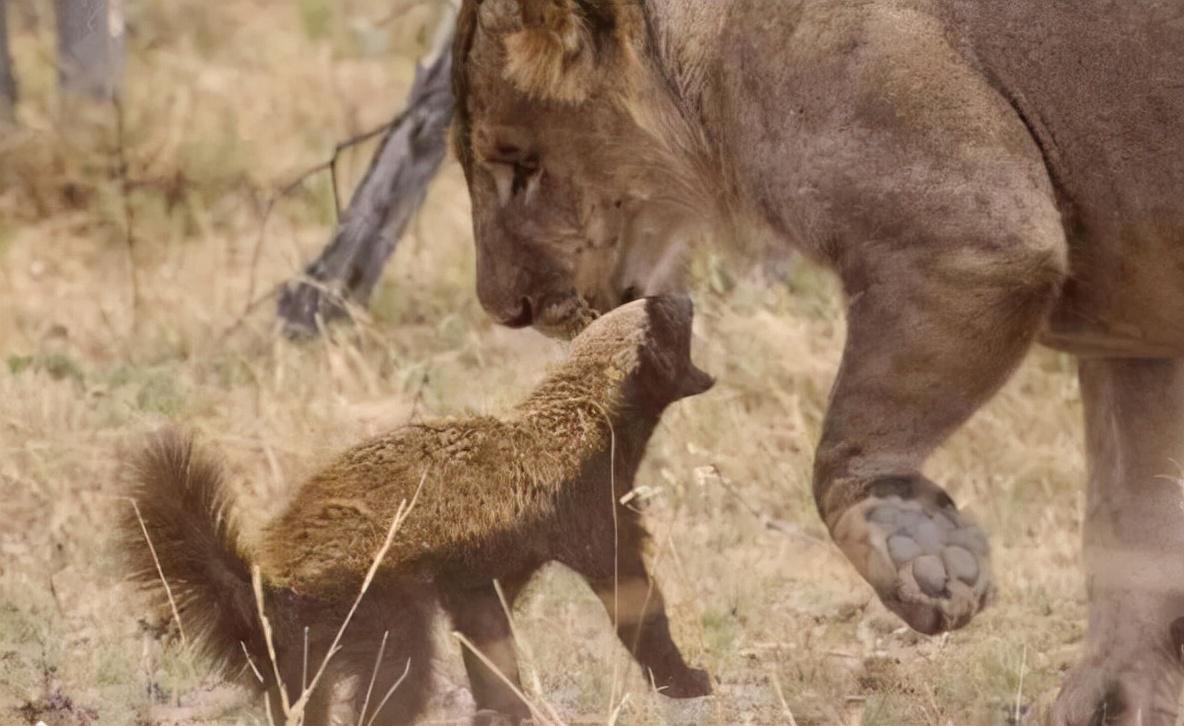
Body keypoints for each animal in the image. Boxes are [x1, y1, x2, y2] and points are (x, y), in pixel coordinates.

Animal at [447, 0, 1184, 720]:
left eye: (520, 164)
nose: (505, 308)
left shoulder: (973, 239)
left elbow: (850, 441)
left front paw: (923, 556)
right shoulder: (1134, 338)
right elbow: (1130, 526)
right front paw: (1108, 701)